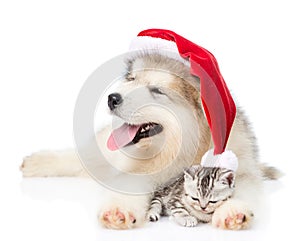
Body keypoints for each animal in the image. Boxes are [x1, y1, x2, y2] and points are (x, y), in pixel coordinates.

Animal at [21, 52, 282, 230]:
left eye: (156, 90)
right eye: (131, 79)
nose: (112, 98)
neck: (179, 150)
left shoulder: (241, 165)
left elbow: (242, 188)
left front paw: (232, 212)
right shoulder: (138, 170)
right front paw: (119, 210)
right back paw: (36, 163)